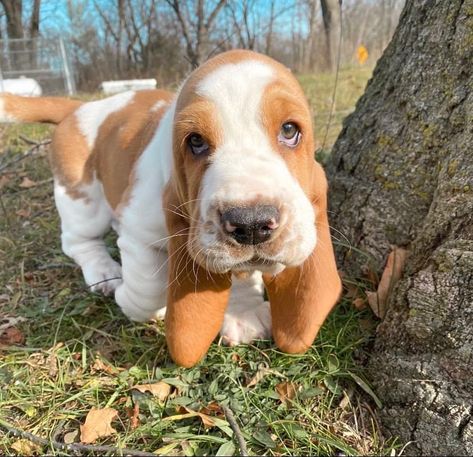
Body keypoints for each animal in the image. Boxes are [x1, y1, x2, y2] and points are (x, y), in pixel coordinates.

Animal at [0, 48, 340, 366]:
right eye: (195, 142)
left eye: (289, 130)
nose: (252, 223)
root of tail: (79, 107)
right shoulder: (138, 231)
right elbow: (147, 287)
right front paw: (130, 299)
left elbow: (242, 271)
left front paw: (244, 312)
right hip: (82, 200)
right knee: (77, 242)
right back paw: (105, 274)